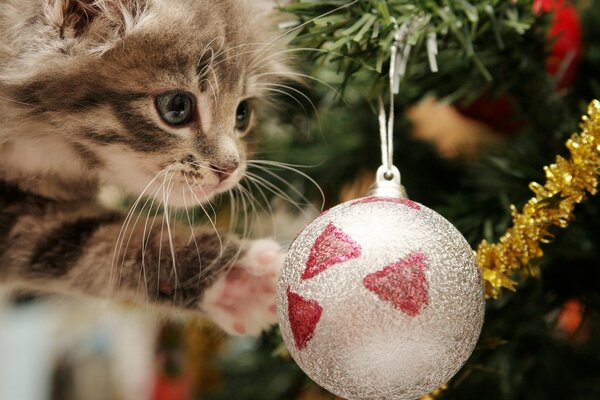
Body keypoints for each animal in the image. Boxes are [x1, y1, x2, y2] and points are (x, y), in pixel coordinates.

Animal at [0, 0, 290, 336]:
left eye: (242, 114)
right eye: (176, 107)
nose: (229, 168)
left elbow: (81, 238)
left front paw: (238, 282)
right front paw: (238, 278)